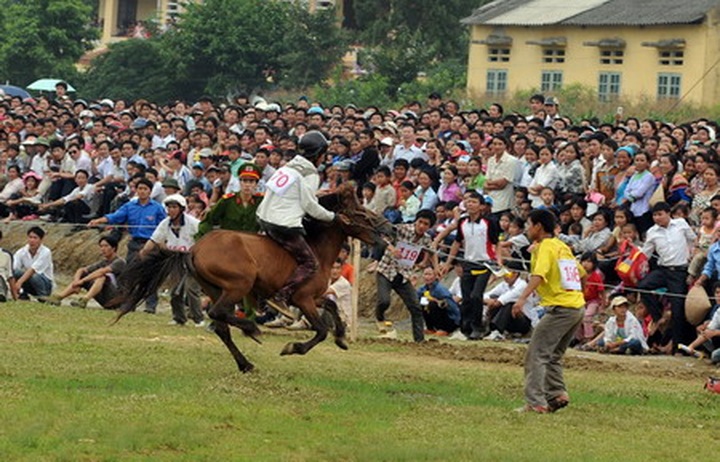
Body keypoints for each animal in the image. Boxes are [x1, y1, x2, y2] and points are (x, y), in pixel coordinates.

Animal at [113, 184, 394, 372]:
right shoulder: (303, 299)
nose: (389, 227)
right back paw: (251, 329)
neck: (316, 249)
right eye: (359, 213)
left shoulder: (313, 298)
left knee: (221, 327)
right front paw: (294, 348)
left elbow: (333, 307)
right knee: (217, 314)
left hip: (216, 289)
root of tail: (193, 249)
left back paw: (245, 363)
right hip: (238, 286)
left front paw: (342, 338)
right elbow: (321, 330)